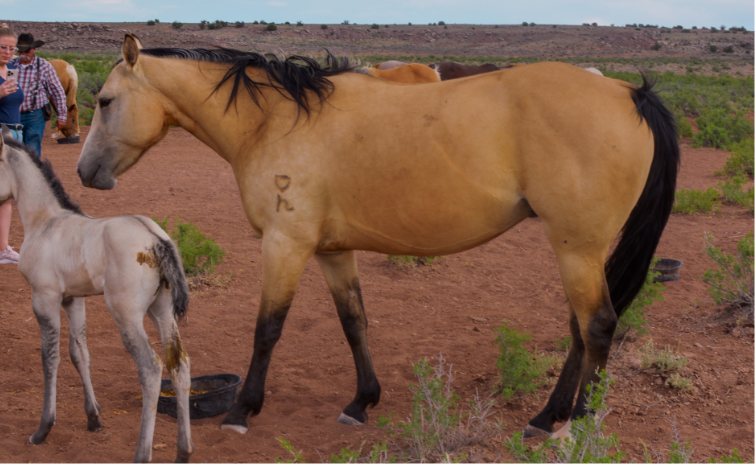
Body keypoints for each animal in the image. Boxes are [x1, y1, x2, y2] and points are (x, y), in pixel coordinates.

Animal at [0, 129, 194, 464]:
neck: (45, 222)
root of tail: (156, 239)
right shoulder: (72, 299)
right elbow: (80, 353)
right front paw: (93, 418)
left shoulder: (44, 298)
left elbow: (50, 358)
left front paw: (43, 429)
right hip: (162, 312)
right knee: (178, 364)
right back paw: (183, 452)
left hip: (126, 315)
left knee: (151, 369)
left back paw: (142, 453)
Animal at [77, 36, 679, 441]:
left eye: (104, 101)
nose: (84, 172)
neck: (274, 121)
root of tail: (628, 92)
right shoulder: (331, 252)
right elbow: (354, 323)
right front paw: (362, 402)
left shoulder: (285, 246)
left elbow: (267, 330)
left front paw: (242, 410)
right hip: (578, 251)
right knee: (580, 330)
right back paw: (547, 416)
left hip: (577, 248)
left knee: (596, 327)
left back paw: (579, 423)